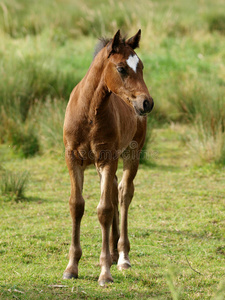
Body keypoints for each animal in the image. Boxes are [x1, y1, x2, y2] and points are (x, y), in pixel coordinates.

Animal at [63, 29, 155, 286]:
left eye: (141, 66)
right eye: (122, 68)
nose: (146, 102)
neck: (89, 113)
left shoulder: (107, 159)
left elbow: (103, 210)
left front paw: (105, 273)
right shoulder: (73, 160)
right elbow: (77, 205)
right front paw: (72, 267)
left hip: (131, 153)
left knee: (123, 194)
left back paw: (122, 257)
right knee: (114, 191)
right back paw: (114, 253)